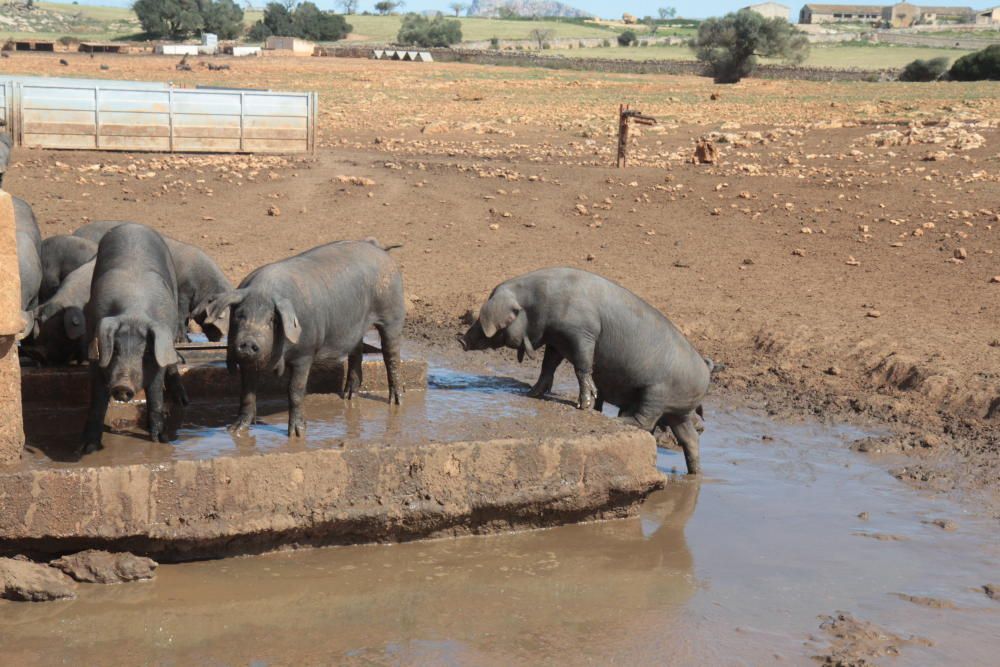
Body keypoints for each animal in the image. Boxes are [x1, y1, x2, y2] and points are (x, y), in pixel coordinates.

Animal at [82, 226, 186, 454]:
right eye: (115, 349)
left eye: (145, 352)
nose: (123, 385)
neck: (134, 311)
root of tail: (133, 225)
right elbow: (96, 403)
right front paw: (88, 448)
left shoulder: (157, 360)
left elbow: (155, 396)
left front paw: (160, 441)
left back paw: (183, 401)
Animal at [197, 240, 404, 438]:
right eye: (240, 315)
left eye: (272, 320)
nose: (248, 342)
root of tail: (379, 249)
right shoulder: (247, 362)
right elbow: (246, 392)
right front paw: (235, 430)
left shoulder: (305, 353)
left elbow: (295, 390)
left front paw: (297, 433)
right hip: (356, 327)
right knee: (356, 352)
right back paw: (348, 396)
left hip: (392, 313)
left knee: (391, 355)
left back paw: (396, 401)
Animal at [460, 266, 712, 474]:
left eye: (485, 321)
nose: (461, 340)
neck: (537, 304)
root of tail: (705, 376)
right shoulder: (556, 340)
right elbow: (548, 366)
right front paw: (531, 393)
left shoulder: (581, 334)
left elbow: (582, 366)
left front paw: (584, 405)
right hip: (677, 412)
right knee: (689, 439)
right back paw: (695, 473)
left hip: (656, 393)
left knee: (646, 421)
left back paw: (619, 421)